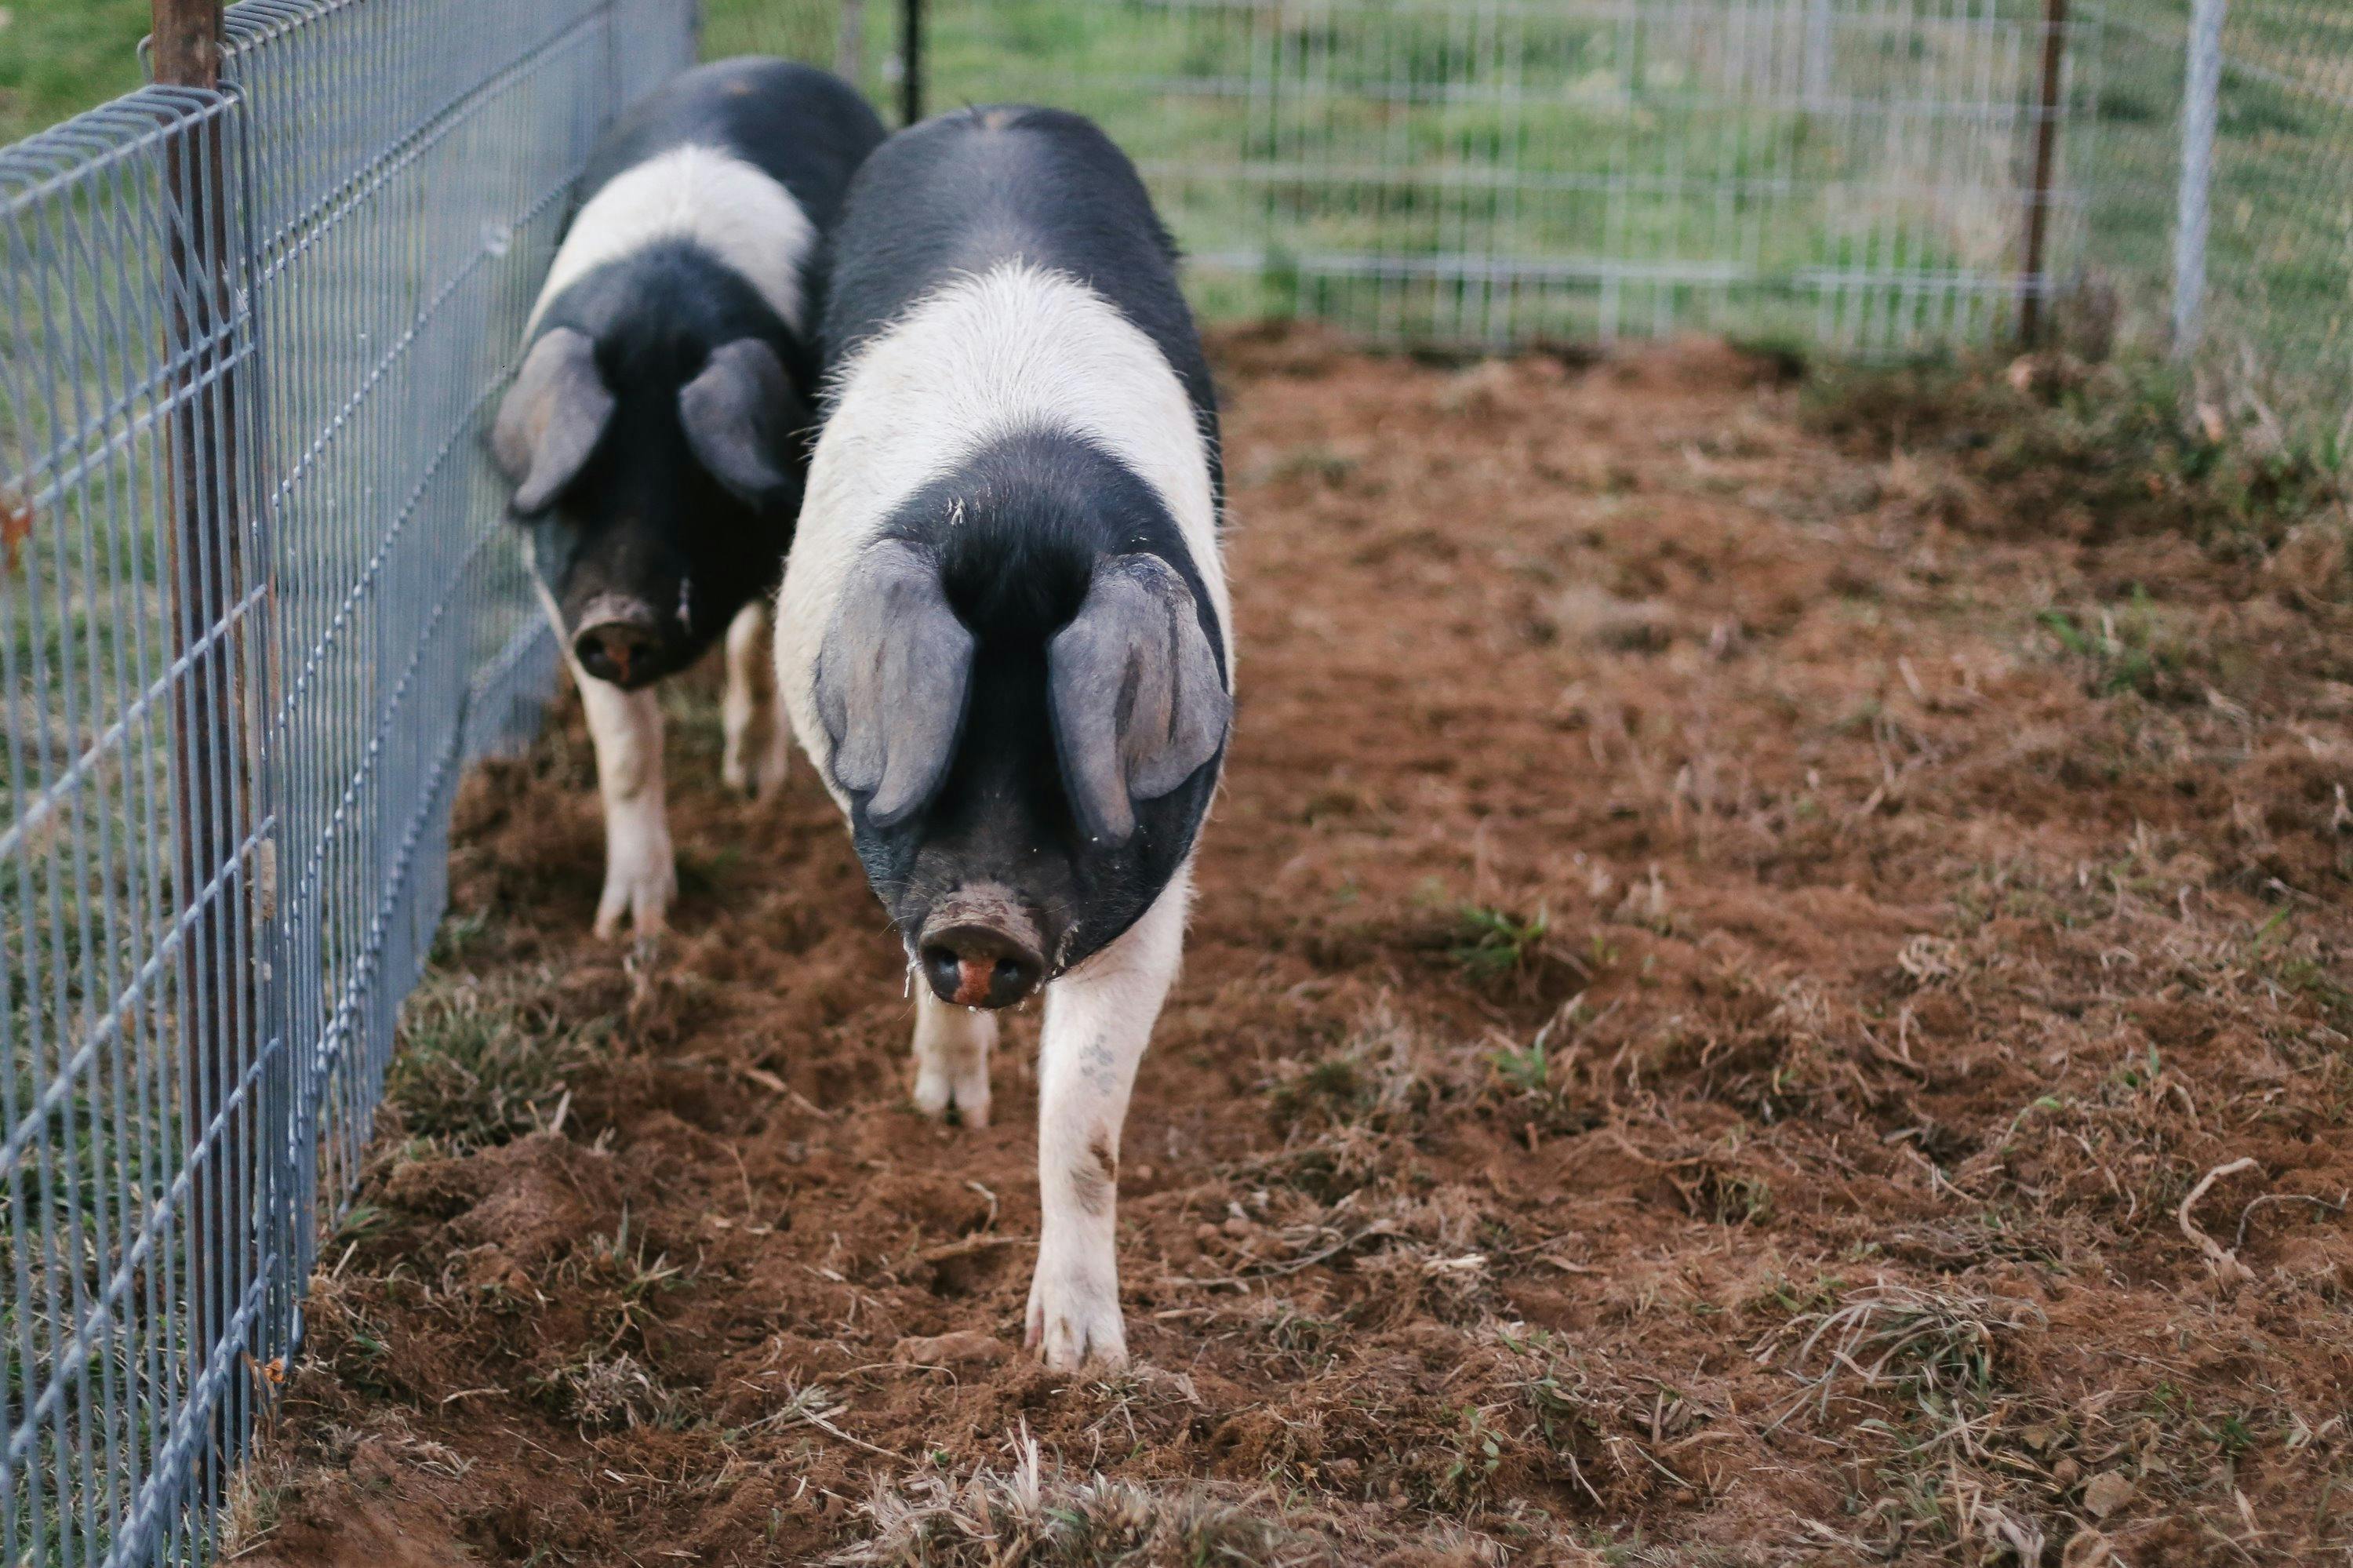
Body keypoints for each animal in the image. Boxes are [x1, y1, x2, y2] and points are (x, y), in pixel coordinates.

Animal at [492, 58, 885, 937]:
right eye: (583, 484)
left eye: (701, 489)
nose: (619, 618)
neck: (657, 312)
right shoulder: (555, 591)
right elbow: (627, 751)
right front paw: (631, 930)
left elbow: (759, 648)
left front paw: (755, 790)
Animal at [776, 106, 1231, 1370]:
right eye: (947, 754)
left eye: (1067, 777)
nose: (983, 916)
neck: (1022, 512)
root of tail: (992, 117)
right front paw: (945, 1117)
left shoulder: (1156, 885)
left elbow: (1083, 1121)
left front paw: (1079, 1359)